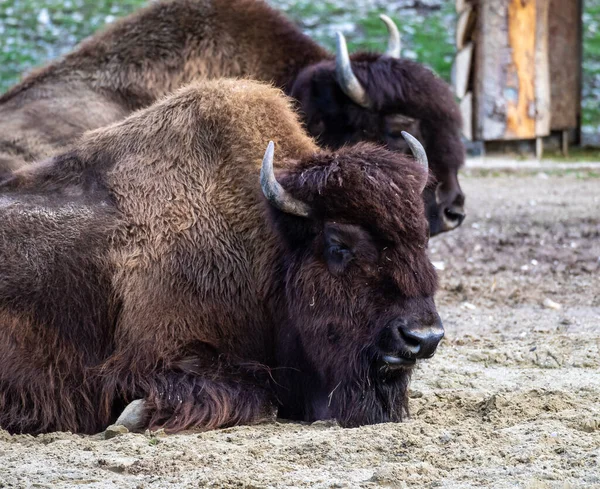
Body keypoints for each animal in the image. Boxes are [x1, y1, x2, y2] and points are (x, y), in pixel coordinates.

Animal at [0, 80, 440, 434]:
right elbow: (255, 396)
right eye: (338, 243)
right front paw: (130, 416)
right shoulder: (156, 352)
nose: (423, 337)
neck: (268, 241)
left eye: (421, 237)